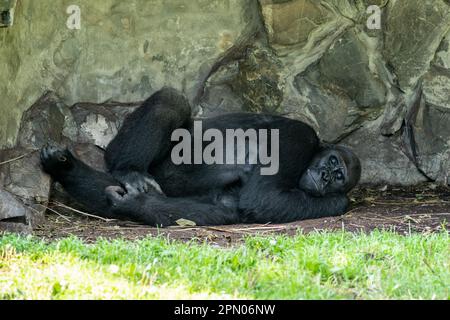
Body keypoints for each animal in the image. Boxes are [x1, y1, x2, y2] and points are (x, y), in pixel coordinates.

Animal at [40, 87, 360, 226]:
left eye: (339, 177)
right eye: (332, 162)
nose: (326, 176)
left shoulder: (333, 200)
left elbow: (235, 208)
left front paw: (136, 206)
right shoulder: (300, 137)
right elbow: (264, 198)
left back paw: (67, 169)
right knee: (172, 100)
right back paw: (128, 168)